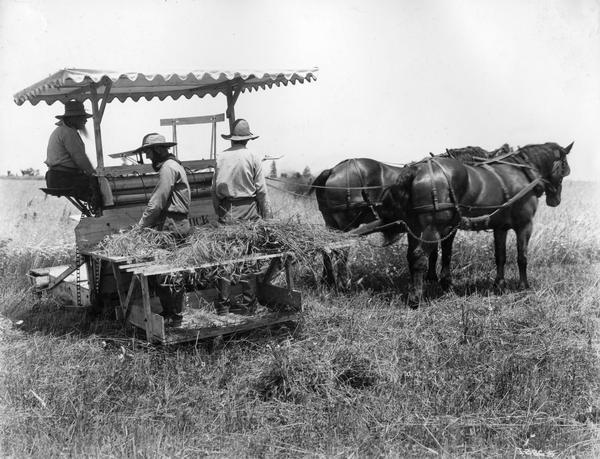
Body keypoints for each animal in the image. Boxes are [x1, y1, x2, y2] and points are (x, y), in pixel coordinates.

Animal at [378, 140, 576, 306]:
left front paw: (499, 284)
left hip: (415, 228)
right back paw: (415, 298)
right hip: (431, 229)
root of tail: (416, 171)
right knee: (419, 257)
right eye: (564, 168)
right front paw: (524, 286)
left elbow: (500, 256)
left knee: (411, 256)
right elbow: (522, 257)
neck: (522, 172)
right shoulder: (525, 225)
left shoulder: (500, 228)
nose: (555, 200)